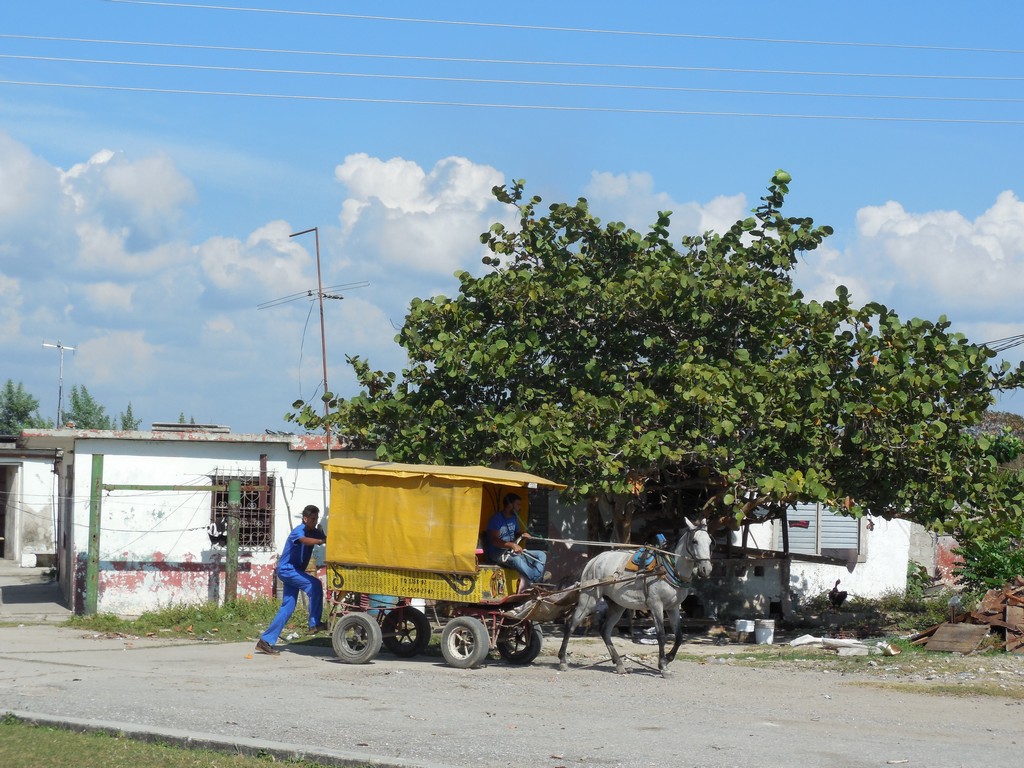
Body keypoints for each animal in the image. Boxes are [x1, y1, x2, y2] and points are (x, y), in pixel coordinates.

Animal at [561, 520, 712, 675]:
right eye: (694, 541)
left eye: (710, 542)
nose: (706, 569)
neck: (668, 569)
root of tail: (594, 561)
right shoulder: (656, 605)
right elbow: (661, 635)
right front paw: (663, 665)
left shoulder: (673, 607)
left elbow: (679, 636)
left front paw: (668, 659)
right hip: (588, 600)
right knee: (570, 624)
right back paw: (563, 661)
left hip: (617, 606)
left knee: (605, 630)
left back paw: (619, 664)